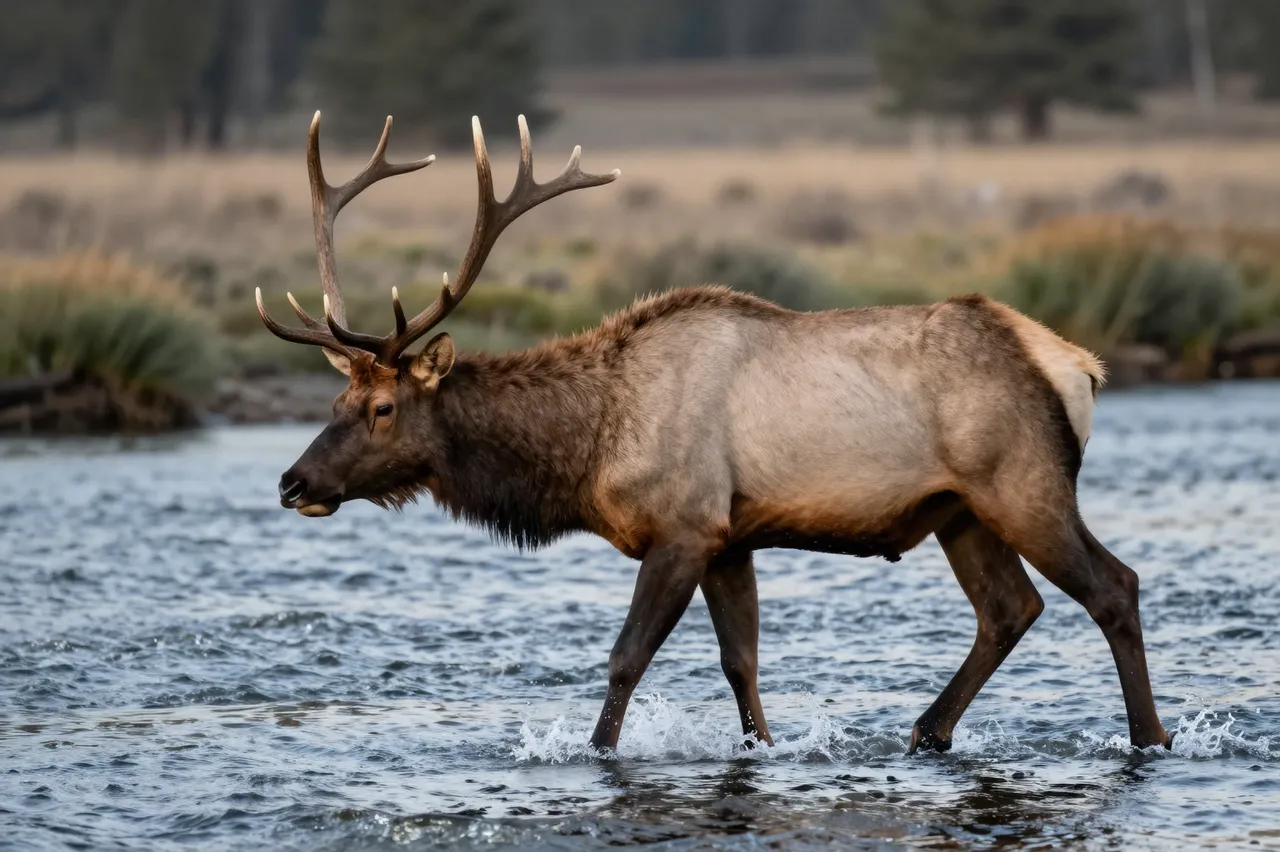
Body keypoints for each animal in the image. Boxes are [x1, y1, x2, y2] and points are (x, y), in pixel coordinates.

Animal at [256, 111, 1173, 756]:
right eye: (333, 402)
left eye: (382, 408)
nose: (293, 482)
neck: (588, 451)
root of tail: (1078, 365)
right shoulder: (733, 538)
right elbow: (742, 664)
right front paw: (762, 749)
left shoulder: (685, 526)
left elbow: (626, 657)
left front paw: (597, 753)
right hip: (960, 510)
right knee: (1010, 608)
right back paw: (926, 731)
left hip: (1022, 481)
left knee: (1112, 585)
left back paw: (1149, 740)